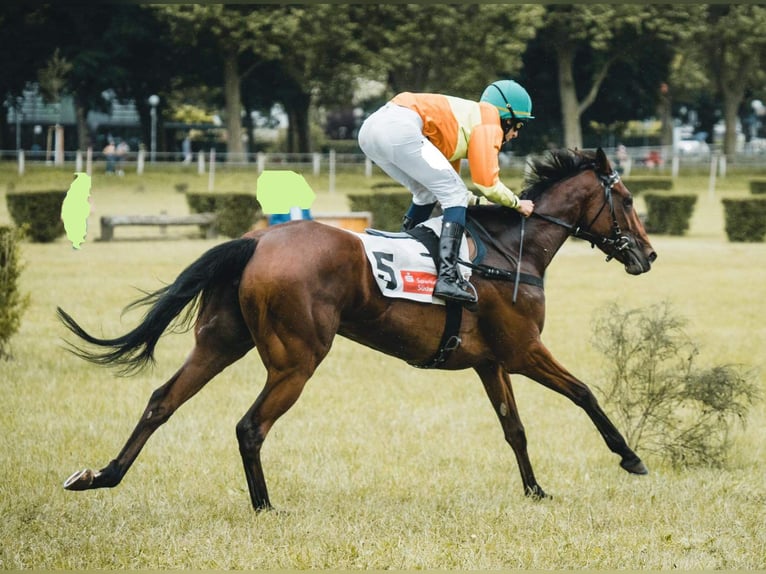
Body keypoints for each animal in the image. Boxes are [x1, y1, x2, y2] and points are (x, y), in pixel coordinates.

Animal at [59, 147, 657, 511]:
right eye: (628, 200)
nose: (648, 255)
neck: (511, 251)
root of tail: (257, 240)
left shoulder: (490, 362)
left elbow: (515, 429)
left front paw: (534, 490)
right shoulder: (523, 351)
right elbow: (584, 392)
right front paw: (630, 457)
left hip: (222, 342)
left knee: (162, 400)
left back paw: (101, 475)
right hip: (296, 360)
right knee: (250, 426)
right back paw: (264, 505)